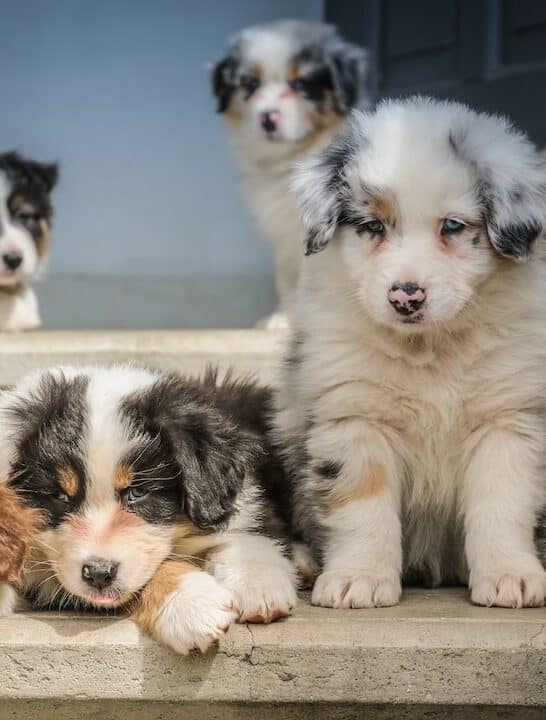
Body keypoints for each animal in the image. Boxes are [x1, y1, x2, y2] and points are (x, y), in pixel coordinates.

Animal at [0, 366, 296, 652]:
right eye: (60, 496)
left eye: (138, 492)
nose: (98, 574)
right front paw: (194, 605)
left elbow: (248, 532)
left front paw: (256, 583)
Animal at [210, 19, 368, 330]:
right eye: (251, 83)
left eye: (301, 84)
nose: (267, 118)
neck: (290, 161)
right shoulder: (283, 235)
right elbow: (285, 279)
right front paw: (280, 319)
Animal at [274, 97, 544, 608]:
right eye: (372, 226)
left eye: (453, 226)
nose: (405, 297)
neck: (431, 349)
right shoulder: (355, 415)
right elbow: (362, 504)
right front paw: (358, 578)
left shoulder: (507, 418)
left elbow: (502, 500)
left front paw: (511, 576)